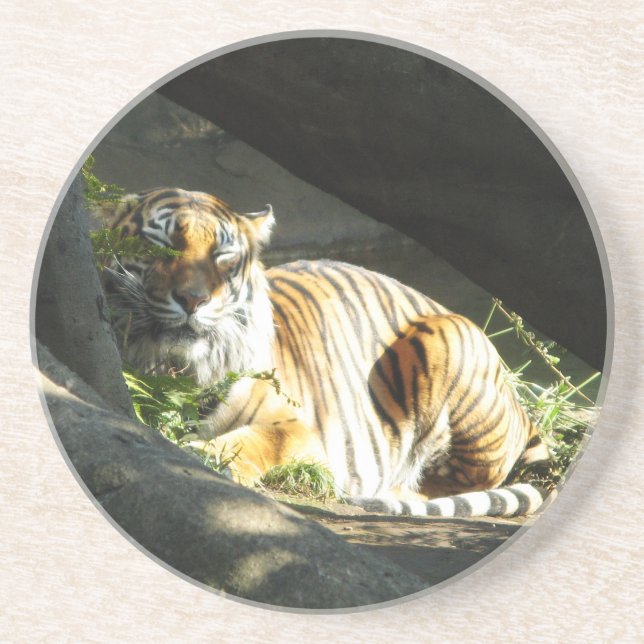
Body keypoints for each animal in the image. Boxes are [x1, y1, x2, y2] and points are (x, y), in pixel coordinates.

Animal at [96, 187, 551, 518]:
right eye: (161, 245)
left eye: (222, 255)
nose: (193, 299)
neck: (177, 369)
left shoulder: (299, 427)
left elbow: (258, 439)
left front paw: (208, 455)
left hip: (450, 341)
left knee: (460, 480)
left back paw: (391, 492)